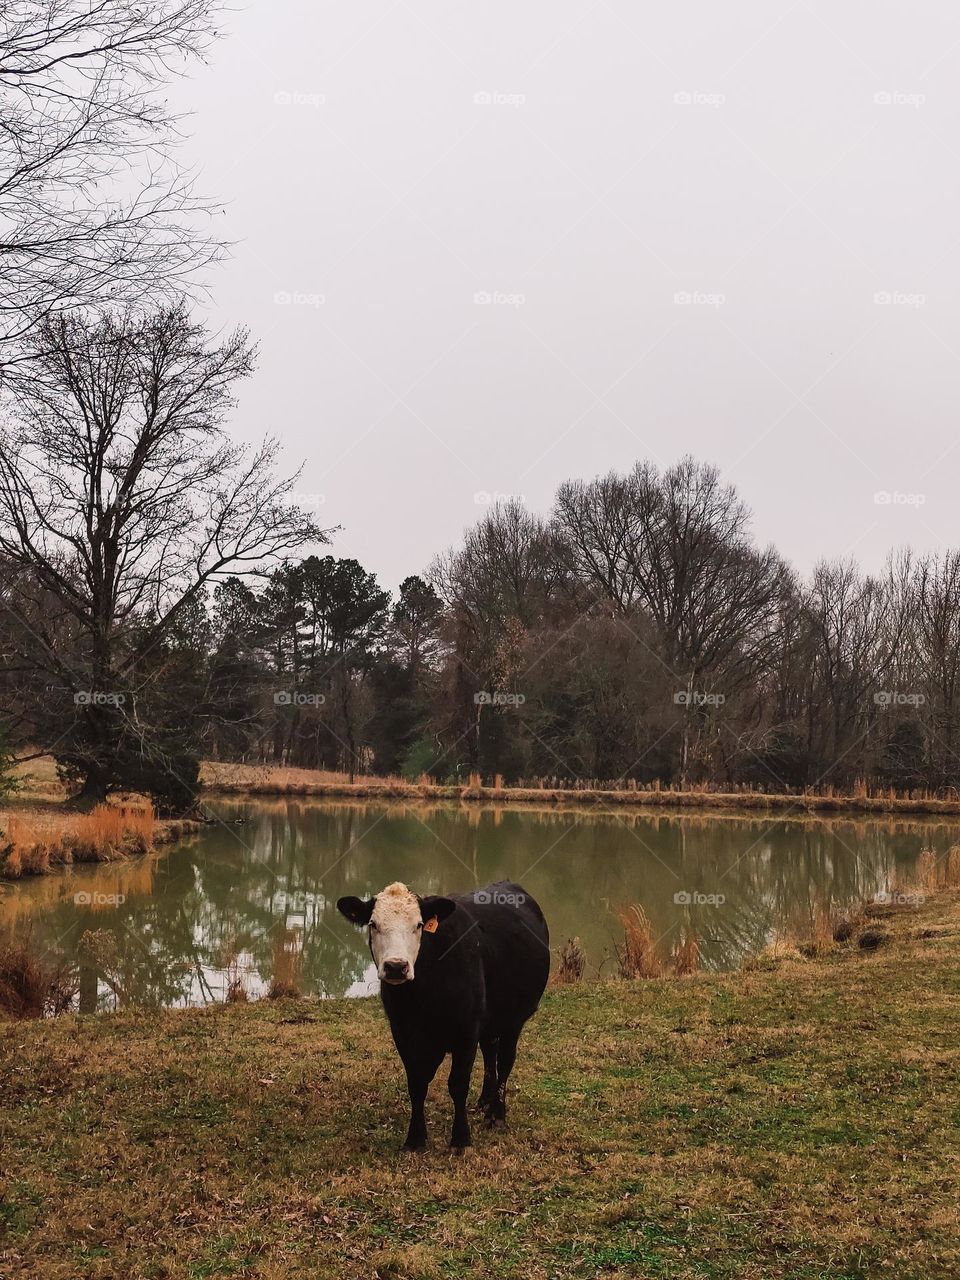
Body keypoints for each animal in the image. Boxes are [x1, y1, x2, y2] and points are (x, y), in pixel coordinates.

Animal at [337, 880, 549, 1151]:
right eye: (373, 924)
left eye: (419, 925)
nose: (396, 966)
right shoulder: (403, 1032)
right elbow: (417, 1083)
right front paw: (415, 1138)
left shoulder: (466, 1031)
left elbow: (457, 1084)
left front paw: (461, 1138)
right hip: (490, 1023)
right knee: (490, 1054)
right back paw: (484, 1100)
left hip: (514, 1020)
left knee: (505, 1061)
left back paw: (497, 1113)